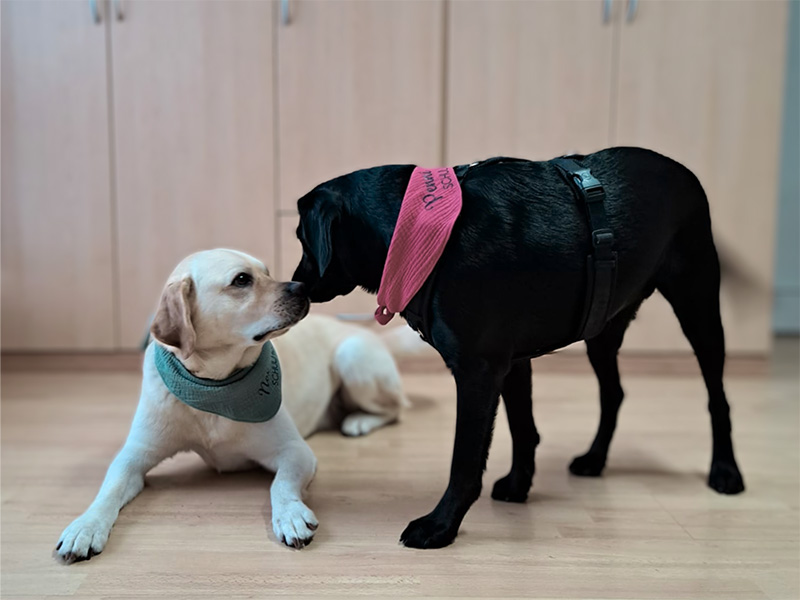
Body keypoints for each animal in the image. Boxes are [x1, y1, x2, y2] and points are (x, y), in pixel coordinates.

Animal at [290, 146, 748, 548]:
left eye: (302, 238)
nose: (297, 285)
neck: (426, 231)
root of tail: (683, 171)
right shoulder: (511, 363)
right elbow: (523, 429)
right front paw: (518, 484)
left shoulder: (478, 370)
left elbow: (465, 460)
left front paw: (441, 526)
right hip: (603, 327)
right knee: (614, 393)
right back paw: (595, 459)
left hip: (699, 308)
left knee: (718, 398)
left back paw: (726, 471)